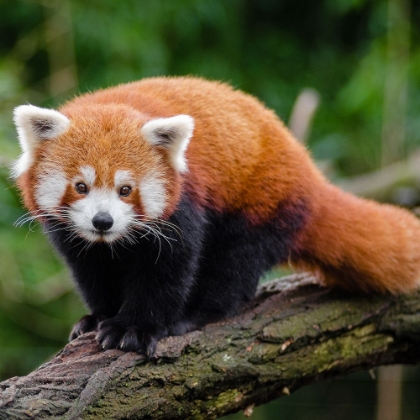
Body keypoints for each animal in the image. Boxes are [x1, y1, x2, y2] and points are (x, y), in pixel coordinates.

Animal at [11, 75, 420, 354]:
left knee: (235, 264)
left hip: (261, 202)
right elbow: (92, 270)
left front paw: (136, 327)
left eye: (126, 189)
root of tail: (310, 177)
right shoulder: (73, 235)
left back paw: (197, 314)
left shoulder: (186, 204)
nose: (102, 221)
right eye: (81, 186)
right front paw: (99, 316)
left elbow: (167, 269)